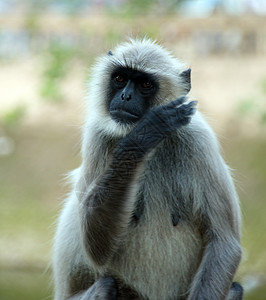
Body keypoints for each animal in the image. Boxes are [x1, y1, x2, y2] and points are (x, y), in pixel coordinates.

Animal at [52, 38, 243, 298]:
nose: (125, 96)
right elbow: (95, 247)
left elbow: (224, 242)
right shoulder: (97, 135)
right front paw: (147, 131)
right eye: (120, 78)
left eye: (144, 84)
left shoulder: (198, 140)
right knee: (106, 284)